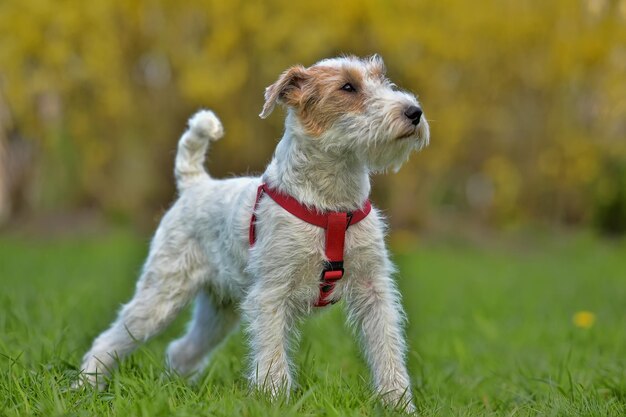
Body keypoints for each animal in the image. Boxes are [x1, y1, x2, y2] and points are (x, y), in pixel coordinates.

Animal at [77, 54, 428, 410]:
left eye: (382, 78)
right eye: (347, 87)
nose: (414, 112)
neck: (331, 204)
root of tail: (196, 184)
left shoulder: (374, 290)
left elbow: (387, 351)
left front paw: (398, 404)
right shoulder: (272, 294)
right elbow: (272, 359)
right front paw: (275, 400)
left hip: (218, 312)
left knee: (181, 349)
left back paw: (172, 389)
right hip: (161, 294)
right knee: (109, 339)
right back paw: (85, 387)